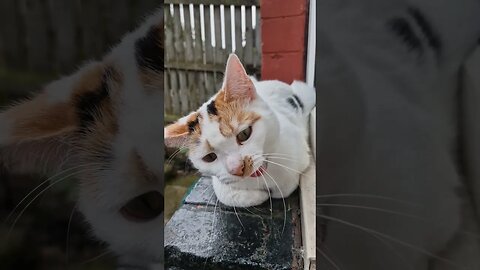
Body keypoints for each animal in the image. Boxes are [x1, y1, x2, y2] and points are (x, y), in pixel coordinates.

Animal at [164, 53, 316, 208]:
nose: (237, 169)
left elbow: (284, 188)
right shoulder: (221, 181)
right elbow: (226, 194)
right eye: (209, 157)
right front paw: (260, 194)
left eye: (244, 134)